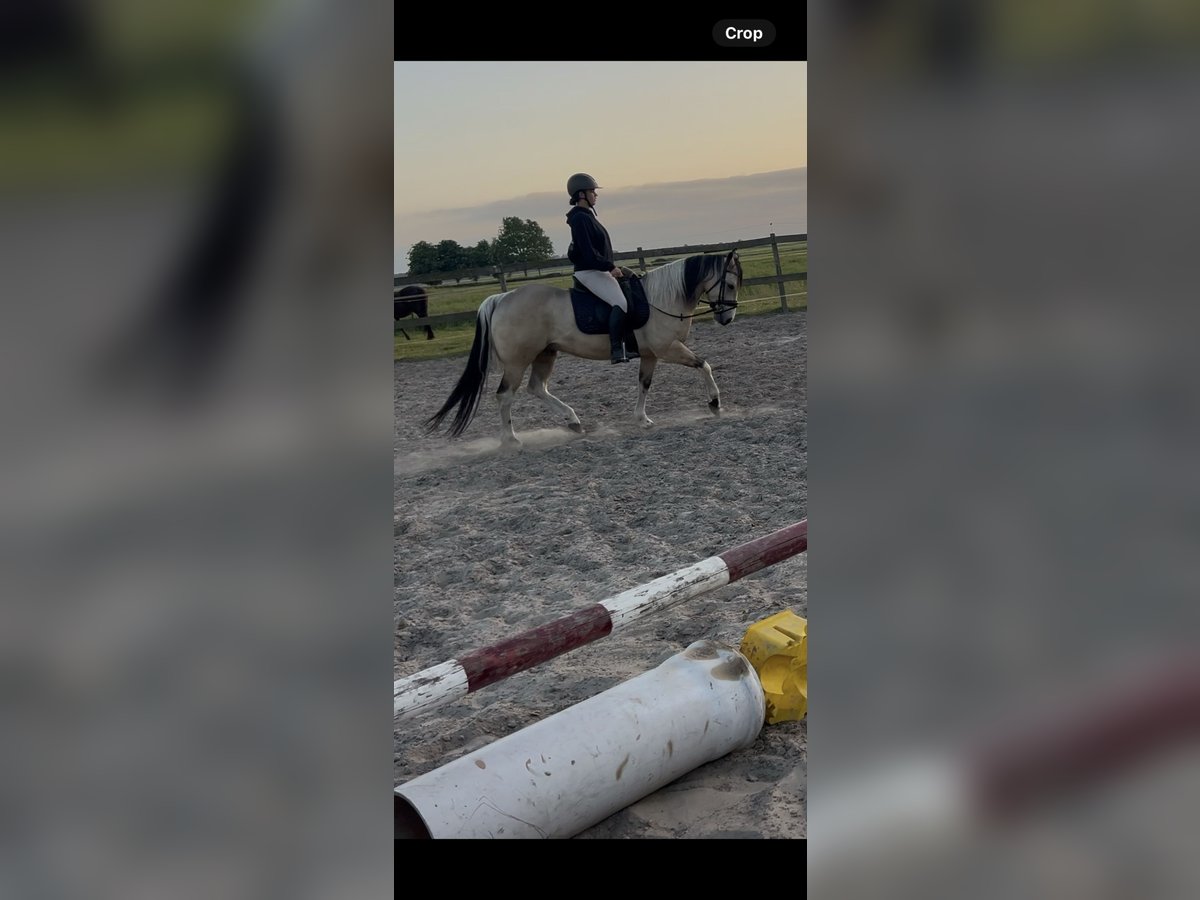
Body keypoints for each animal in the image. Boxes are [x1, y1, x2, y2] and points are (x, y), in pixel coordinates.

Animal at [424, 251, 742, 446]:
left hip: (546, 354)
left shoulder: (650, 354)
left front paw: (643, 420)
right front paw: (715, 403)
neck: (660, 299)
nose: (727, 318)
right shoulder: (668, 349)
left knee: (537, 388)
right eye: (730, 283)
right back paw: (511, 440)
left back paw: (574, 421)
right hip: (517, 361)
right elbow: (704, 364)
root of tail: (501, 299)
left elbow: (644, 385)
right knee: (505, 396)